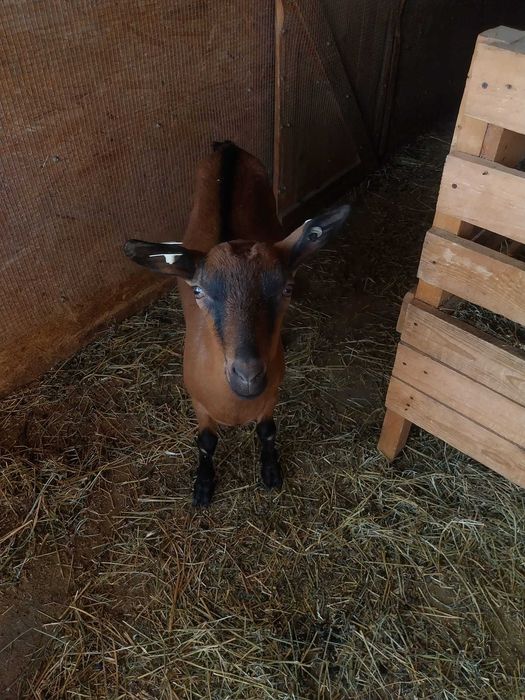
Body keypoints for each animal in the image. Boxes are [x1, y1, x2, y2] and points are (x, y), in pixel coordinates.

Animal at [125, 141, 350, 506]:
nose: (248, 376)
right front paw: (203, 487)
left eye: (287, 288)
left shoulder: (271, 395)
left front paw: (271, 472)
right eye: (198, 290)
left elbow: (267, 431)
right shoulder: (199, 402)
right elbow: (206, 442)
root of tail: (227, 147)